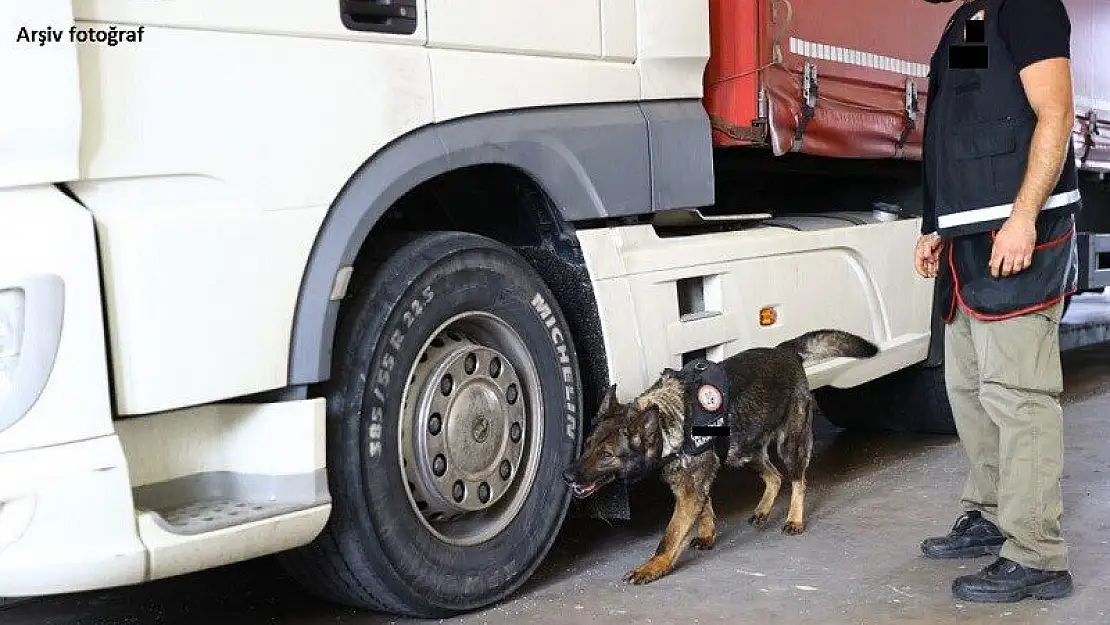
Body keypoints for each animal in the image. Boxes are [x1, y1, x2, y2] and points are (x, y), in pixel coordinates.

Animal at [563, 330, 874, 586]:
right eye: (587, 446)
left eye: (606, 454)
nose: (567, 475)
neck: (667, 420)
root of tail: (784, 351)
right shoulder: (694, 485)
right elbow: (706, 509)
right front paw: (707, 534)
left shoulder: (689, 491)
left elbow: (670, 537)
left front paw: (653, 567)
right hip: (744, 452)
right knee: (774, 476)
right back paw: (762, 510)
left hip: (790, 443)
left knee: (797, 480)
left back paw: (794, 518)